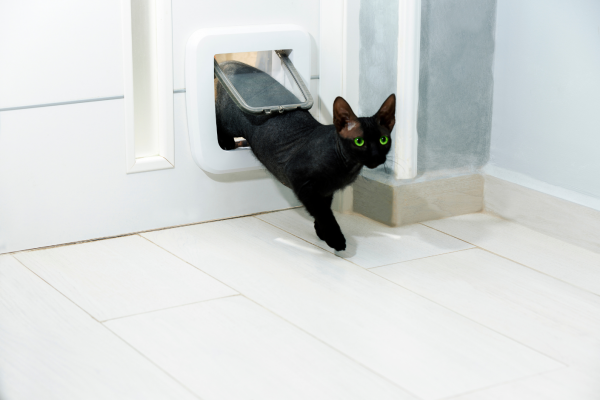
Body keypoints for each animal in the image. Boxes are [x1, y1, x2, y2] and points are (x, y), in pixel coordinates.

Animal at [214, 61, 394, 250]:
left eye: (383, 140)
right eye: (359, 141)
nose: (376, 156)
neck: (347, 167)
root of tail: (232, 63)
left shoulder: (326, 191)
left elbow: (323, 209)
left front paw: (321, 231)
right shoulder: (303, 184)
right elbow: (323, 212)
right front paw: (334, 238)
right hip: (230, 122)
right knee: (218, 119)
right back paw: (226, 142)